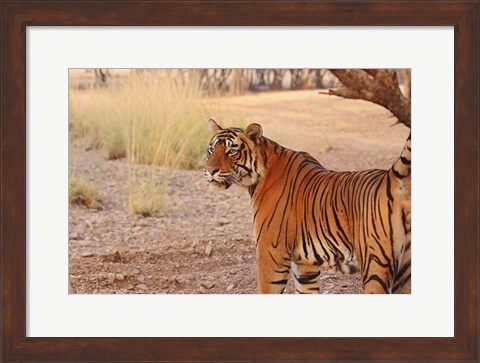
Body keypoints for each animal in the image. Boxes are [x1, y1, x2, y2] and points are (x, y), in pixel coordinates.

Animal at [204, 119, 410, 296]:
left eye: (231, 151)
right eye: (211, 149)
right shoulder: (305, 264)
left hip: (375, 264)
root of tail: (391, 176)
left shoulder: (271, 253)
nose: (209, 170)